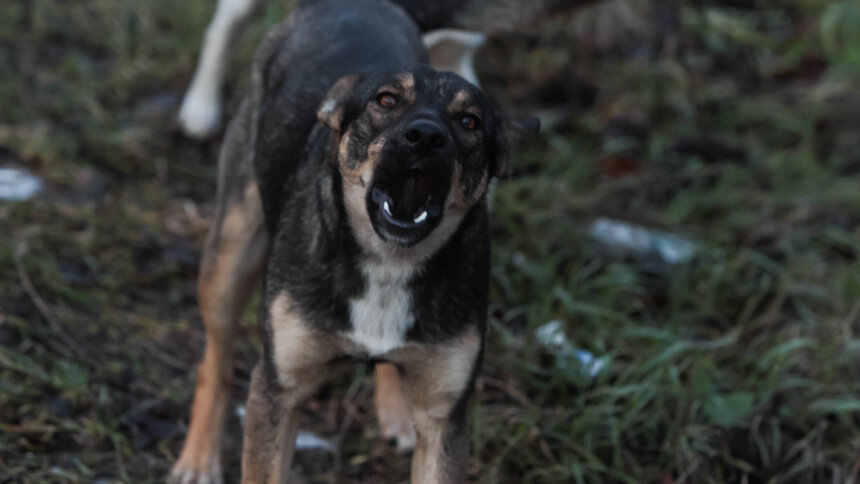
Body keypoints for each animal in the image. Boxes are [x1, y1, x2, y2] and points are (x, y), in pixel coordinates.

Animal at [171, 0, 548, 484]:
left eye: (470, 122)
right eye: (386, 100)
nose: (425, 137)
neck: (388, 262)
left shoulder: (446, 413)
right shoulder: (280, 388)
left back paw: (396, 411)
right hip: (230, 253)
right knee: (215, 360)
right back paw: (199, 458)